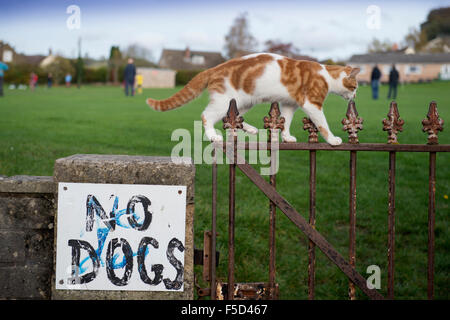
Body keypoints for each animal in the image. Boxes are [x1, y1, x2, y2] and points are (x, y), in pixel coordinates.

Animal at [146, 53, 360, 146]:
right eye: (355, 87)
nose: (356, 95)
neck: (327, 75)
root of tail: (214, 68)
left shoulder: (289, 104)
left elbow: (285, 122)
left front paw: (286, 137)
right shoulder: (312, 103)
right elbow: (322, 124)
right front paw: (332, 139)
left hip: (242, 102)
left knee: (233, 118)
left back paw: (250, 129)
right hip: (225, 100)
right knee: (206, 115)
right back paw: (213, 135)